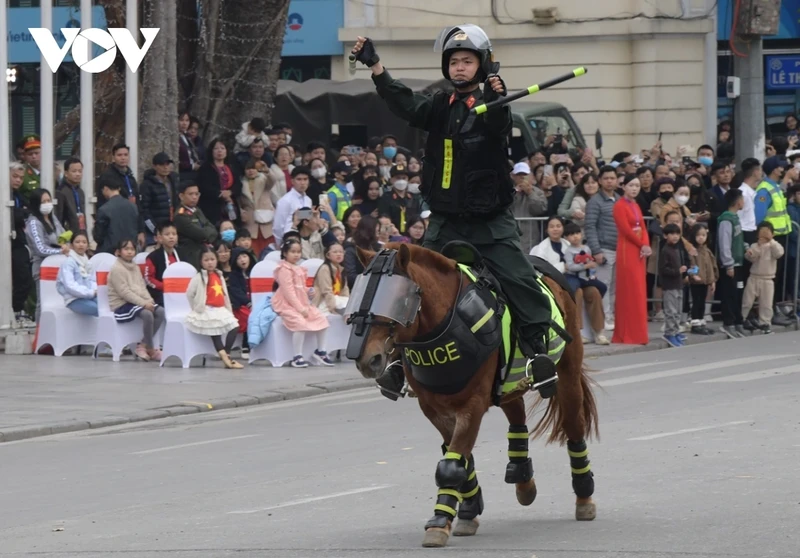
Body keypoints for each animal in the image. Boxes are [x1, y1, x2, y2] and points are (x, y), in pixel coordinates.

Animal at [354, 243, 596, 548]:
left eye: (397, 298)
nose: (368, 360)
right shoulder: (433, 408)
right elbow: (459, 457)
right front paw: (467, 509)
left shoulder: (472, 405)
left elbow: (451, 462)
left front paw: (439, 522)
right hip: (510, 381)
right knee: (517, 416)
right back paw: (522, 478)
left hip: (567, 374)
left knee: (574, 426)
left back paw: (584, 494)